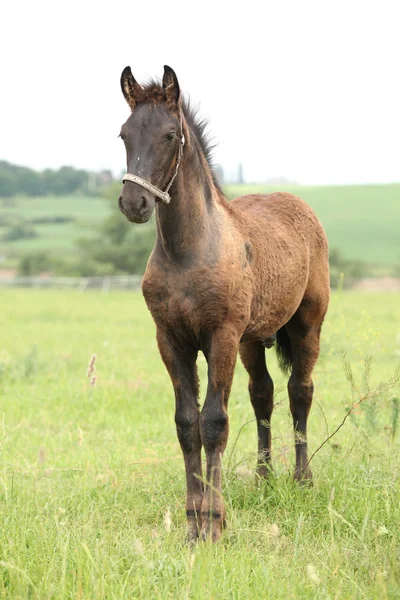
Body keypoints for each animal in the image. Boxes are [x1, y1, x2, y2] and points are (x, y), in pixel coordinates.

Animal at [117, 67, 330, 544]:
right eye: (123, 134)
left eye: (170, 136)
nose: (134, 203)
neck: (188, 251)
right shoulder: (171, 340)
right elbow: (186, 423)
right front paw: (191, 521)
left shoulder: (221, 337)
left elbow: (213, 421)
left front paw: (213, 523)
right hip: (252, 340)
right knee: (262, 393)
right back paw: (264, 478)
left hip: (306, 324)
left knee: (300, 391)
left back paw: (302, 480)